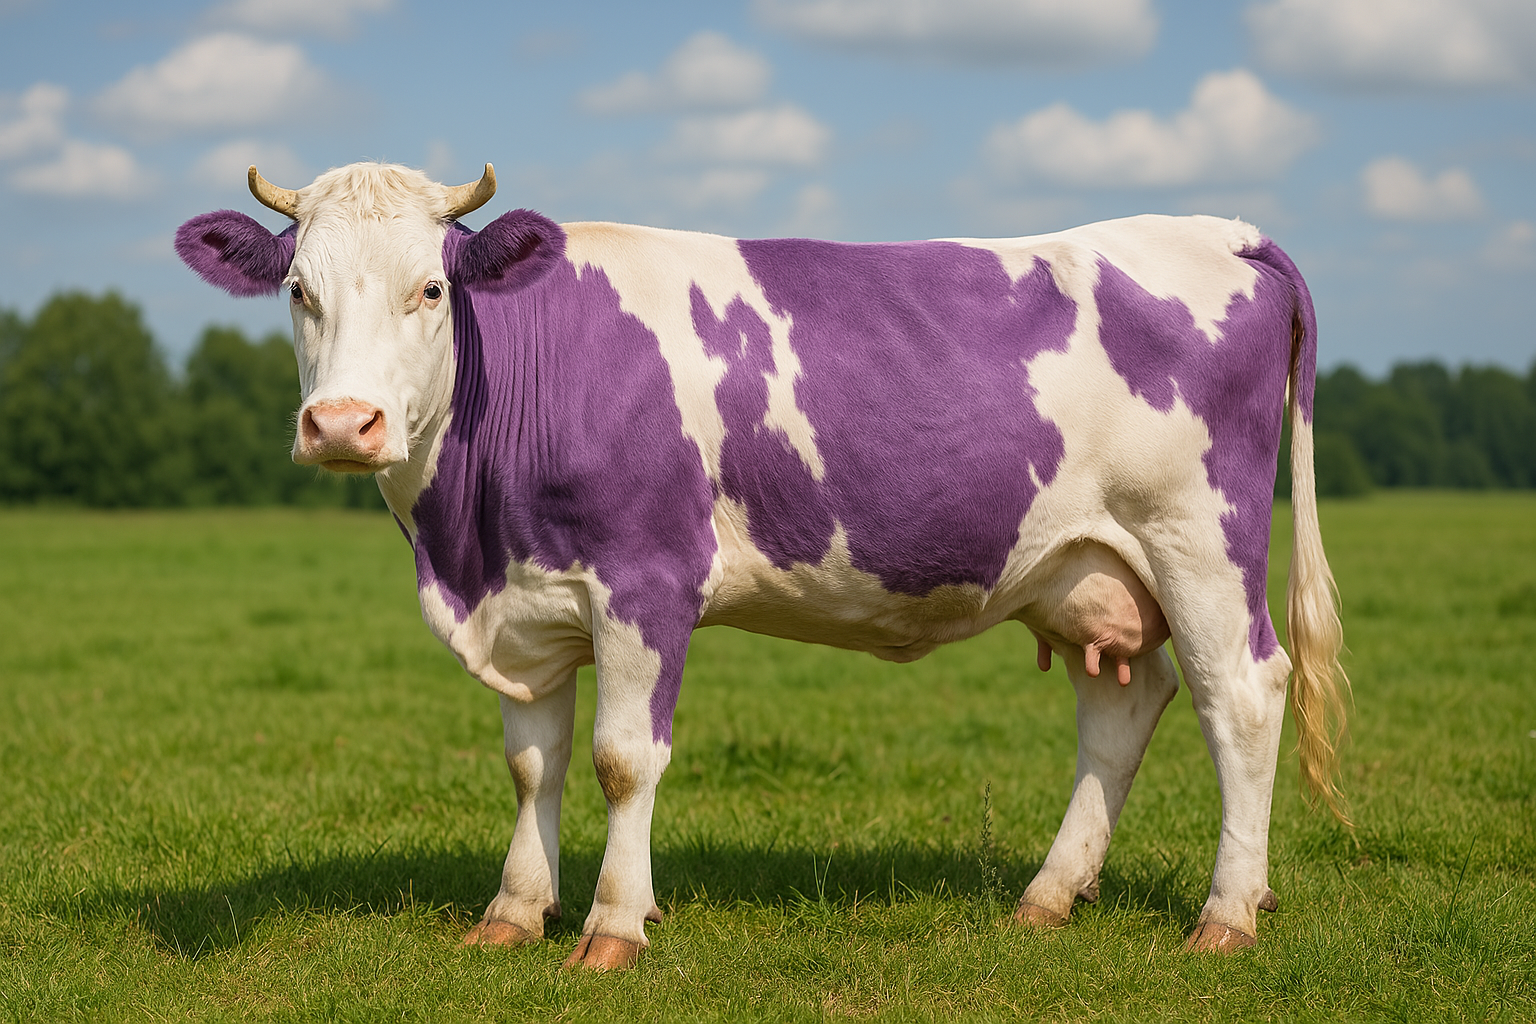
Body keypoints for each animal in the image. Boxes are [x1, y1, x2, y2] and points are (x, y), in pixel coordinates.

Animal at [176, 161, 1348, 969]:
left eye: (428, 289)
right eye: (297, 289)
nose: (343, 424)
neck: (467, 535)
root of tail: (1219, 231)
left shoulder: (645, 581)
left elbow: (621, 759)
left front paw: (612, 927)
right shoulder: (528, 604)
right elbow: (533, 765)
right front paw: (512, 913)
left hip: (1198, 540)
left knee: (1243, 695)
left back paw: (1227, 915)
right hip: (1093, 566)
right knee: (1126, 704)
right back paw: (1048, 896)